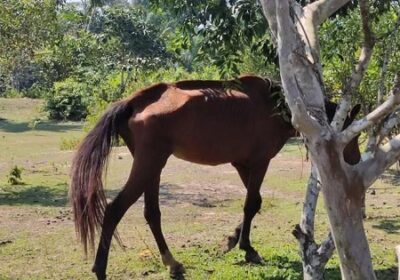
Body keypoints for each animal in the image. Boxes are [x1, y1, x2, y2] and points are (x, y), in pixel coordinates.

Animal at [69, 75, 360, 278]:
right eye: (352, 134)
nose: (355, 160)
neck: (275, 106)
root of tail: (133, 102)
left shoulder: (242, 163)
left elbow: (255, 202)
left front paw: (233, 240)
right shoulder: (259, 162)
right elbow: (251, 204)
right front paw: (247, 248)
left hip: (152, 168)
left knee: (151, 214)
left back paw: (172, 263)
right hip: (148, 165)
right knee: (114, 210)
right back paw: (100, 269)